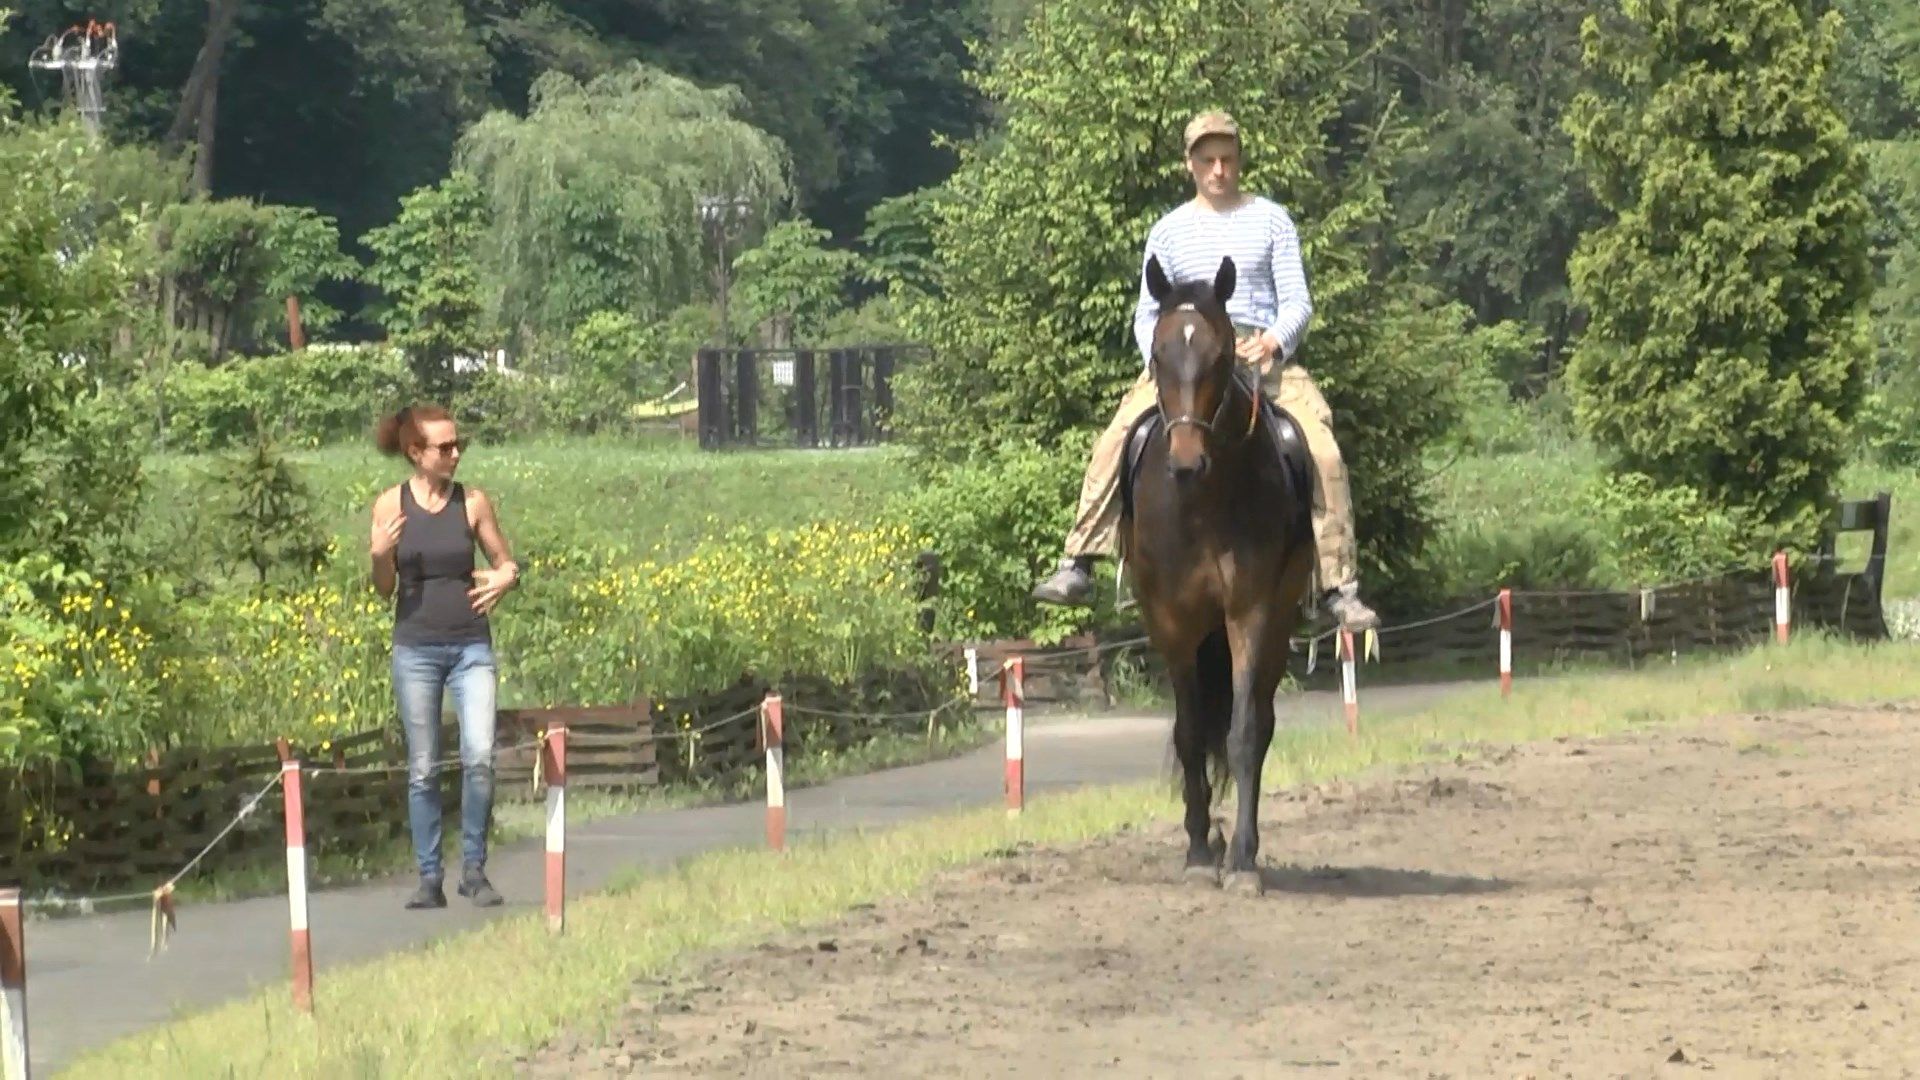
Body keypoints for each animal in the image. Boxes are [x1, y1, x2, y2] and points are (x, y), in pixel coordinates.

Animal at [1113, 251, 1320, 891]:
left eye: (1224, 355)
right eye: (1157, 355)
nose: (1186, 460)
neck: (1201, 503)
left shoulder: (1250, 611)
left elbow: (1243, 731)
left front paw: (1243, 861)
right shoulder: (1171, 621)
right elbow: (1188, 733)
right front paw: (1200, 852)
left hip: (1277, 621)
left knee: (1259, 721)